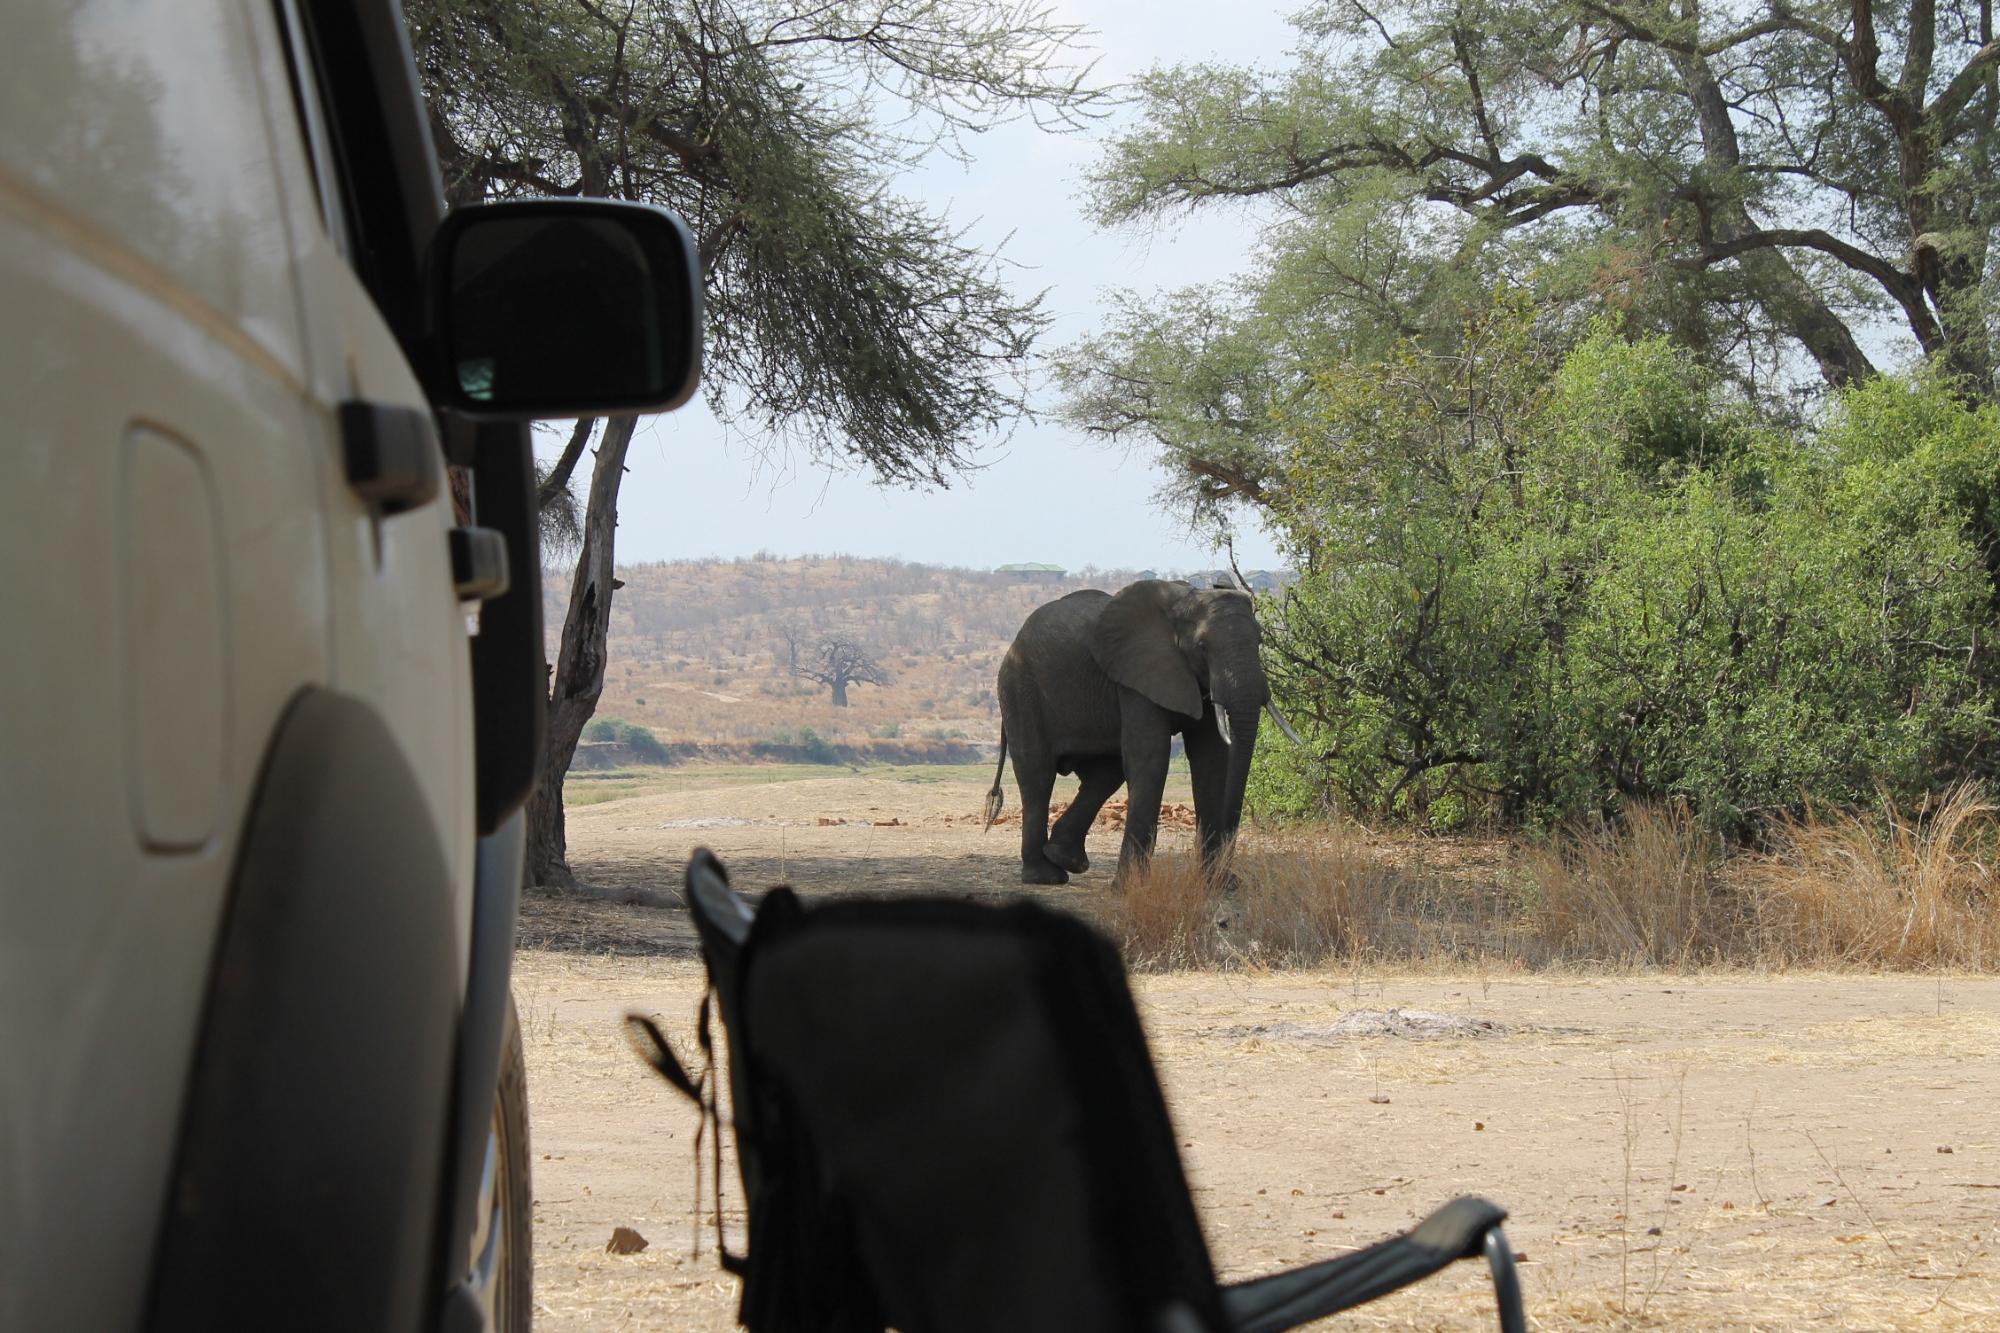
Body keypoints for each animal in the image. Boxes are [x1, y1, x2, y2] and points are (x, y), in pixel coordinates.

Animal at [983, 578, 1297, 885]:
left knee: (1105, 775)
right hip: (1019, 689)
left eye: (1259, 641)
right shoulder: (1138, 675)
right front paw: (1129, 888)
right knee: (1038, 774)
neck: (1185, 600)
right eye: (1203, 647)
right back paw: (1045, 877)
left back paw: (1065, 859)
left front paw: (1216, 886)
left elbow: (1210, 760)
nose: (1230, 879)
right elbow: (1150, 756)